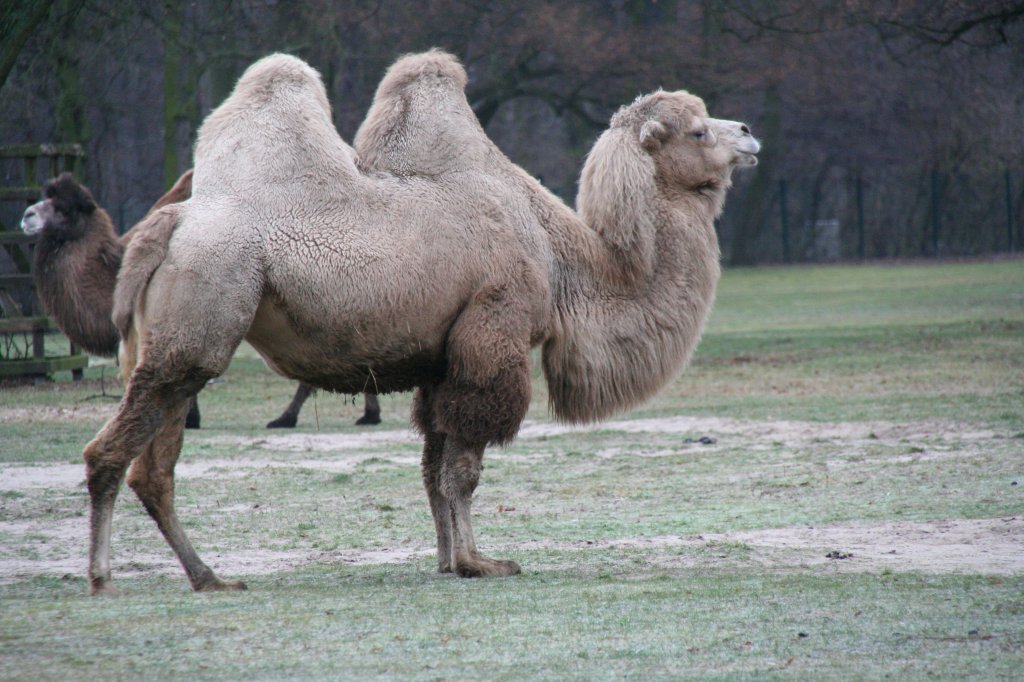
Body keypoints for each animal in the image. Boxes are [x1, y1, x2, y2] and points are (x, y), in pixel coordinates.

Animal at [83, 50, 761, 593]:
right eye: (699, 129)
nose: (750, 133)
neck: (563, 261)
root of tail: (167, 225)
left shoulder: (442, 358)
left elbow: (434, 470)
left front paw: (444, 560)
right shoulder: (493, 333)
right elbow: (465, 471)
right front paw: (478, 562)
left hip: (175, 343)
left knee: (156, 468)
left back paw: (210, 577)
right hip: (203, 315)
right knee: (110, 452)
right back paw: (103, 576)